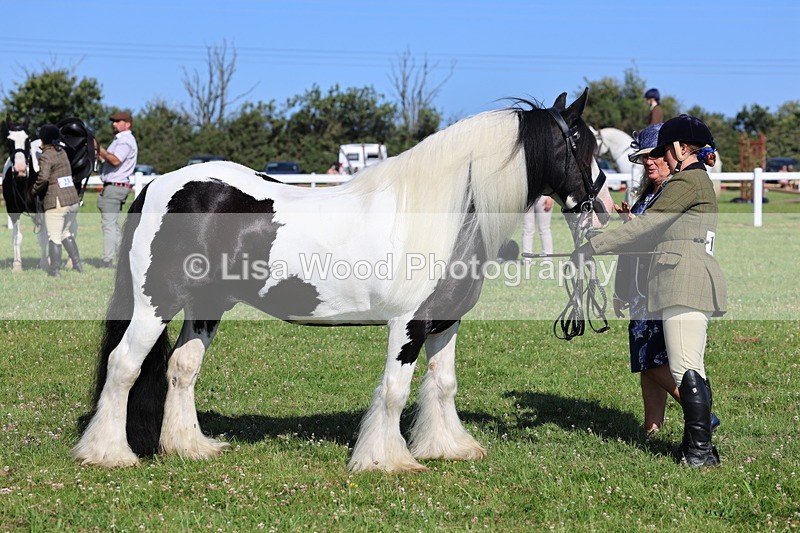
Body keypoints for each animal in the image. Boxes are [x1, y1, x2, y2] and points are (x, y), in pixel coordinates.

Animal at [72, 89, 614, 473]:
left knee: (181, 368)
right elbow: (395, 390)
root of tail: (154, 185)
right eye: (580, 143)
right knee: (124, 366)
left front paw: (449, 447)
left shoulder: (445, 323)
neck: (448, 211)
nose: (603, 204)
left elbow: (443, 385)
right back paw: (107, 453)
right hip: (154, 305)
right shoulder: (408, 324)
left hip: (206, 306)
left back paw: (189, 447)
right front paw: (386, 461)